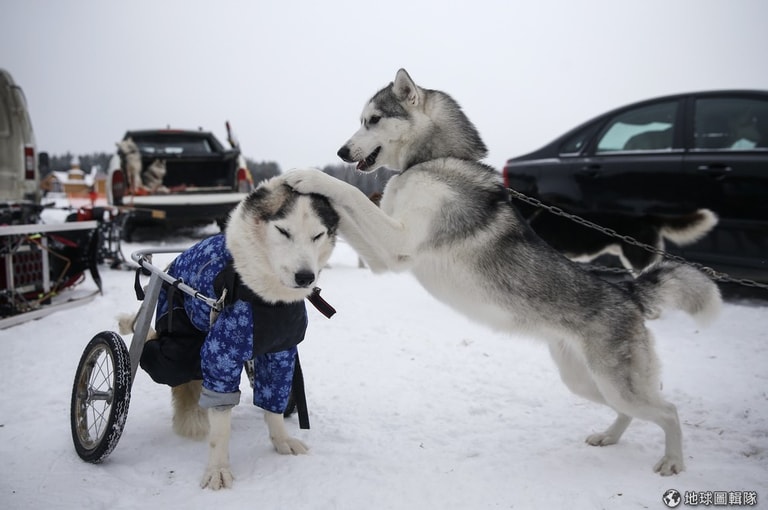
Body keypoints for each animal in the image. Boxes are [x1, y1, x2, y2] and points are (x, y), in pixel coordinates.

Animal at [136, 176, 340, 490]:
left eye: (317, 235)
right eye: (283, 231)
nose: (305, 276)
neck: (266, 298)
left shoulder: (281, 352)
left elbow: (273, 402)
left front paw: (281, 440)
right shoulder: (222, 356)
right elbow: (220, 426)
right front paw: (218, 468)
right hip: (176, 339)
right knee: (163, 359)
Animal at [286, 69, 720, 476]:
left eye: (373, 120)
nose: (341, 151)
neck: (430, 162)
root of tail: (629, 291)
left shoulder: (398, 244)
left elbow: (351, 192)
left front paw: (310, 176)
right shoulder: (384, 257)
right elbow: (349, 208)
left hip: (617, 382)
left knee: (669, 412)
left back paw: (673, 462)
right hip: (586, 381)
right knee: (630, 411)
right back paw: (608, 437)